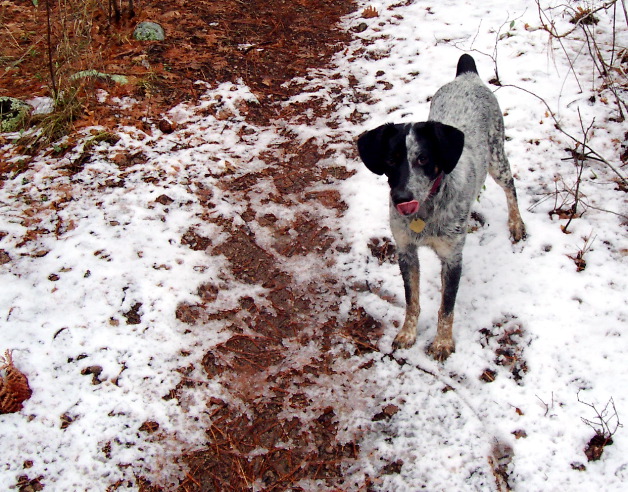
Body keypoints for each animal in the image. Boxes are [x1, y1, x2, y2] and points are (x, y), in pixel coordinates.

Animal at [358, 54, 524, 362]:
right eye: (390, 160)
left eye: (423, 159)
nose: (401, 198)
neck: (426, 211)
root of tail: (467, 75)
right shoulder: (405, 251)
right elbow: (412, 300)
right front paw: (407, 333)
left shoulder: (452, 258)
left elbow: (447, 308)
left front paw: (443, 343)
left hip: (497, 159)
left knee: (511, 187)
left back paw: (516, 224)